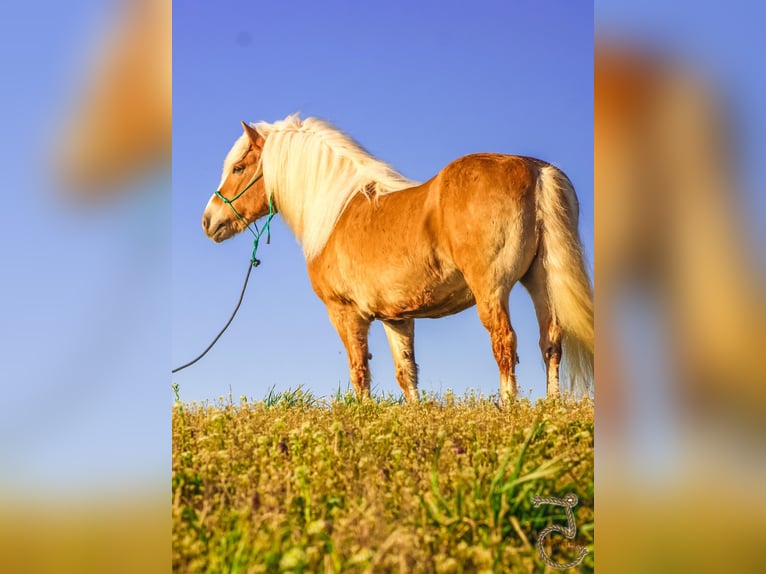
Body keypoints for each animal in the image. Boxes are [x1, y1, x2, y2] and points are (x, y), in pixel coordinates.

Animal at [202, 113, 592, 404]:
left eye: (238, 168)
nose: (208, 221)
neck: (338, 213)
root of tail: (537, 170)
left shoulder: (345, 314)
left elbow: (359, 371)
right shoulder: (397, 318)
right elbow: (407, 374)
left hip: (492, 290)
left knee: (505, 341)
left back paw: (508, 407)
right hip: (539, 280)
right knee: (550, 342)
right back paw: (551, 406)